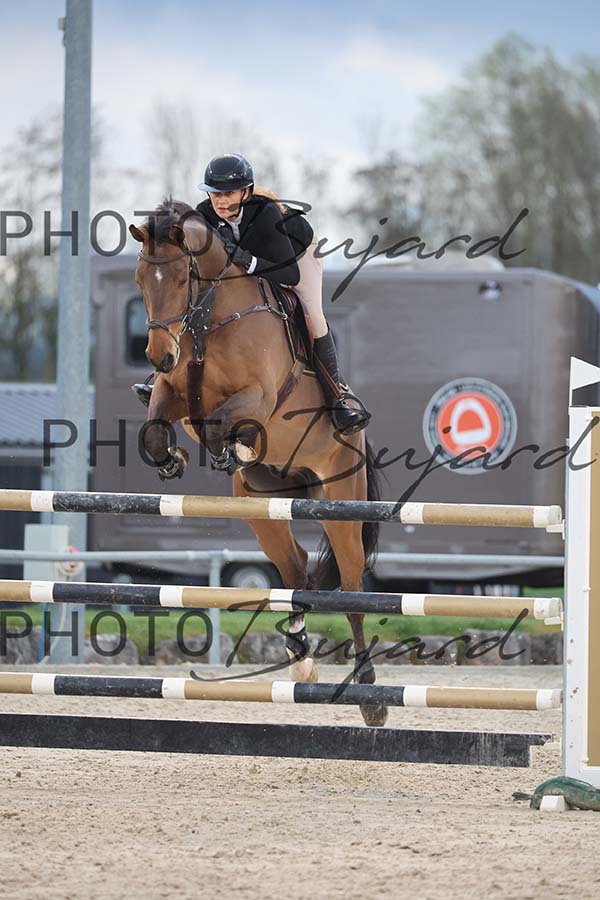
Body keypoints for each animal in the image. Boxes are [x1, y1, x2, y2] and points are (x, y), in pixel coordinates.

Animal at [128, 199, 387, 727]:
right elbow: (156, 431)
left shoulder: (259, 397)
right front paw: (174, 459)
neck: (208, 320)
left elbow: (222, 424)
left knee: (352, 588)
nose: (159, 356)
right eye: (142, 278)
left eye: (181, 279)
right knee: (294, 571)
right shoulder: (171, 394)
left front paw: (234, 447)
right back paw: (300, 658)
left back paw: (370, 694)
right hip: (263, 508)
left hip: (341, 503)